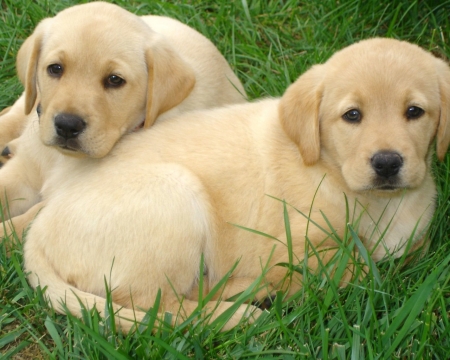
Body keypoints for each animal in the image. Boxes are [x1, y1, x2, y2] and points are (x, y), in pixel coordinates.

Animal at [16, 37, 450, 332]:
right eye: (352, 115)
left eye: (414, 112)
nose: (387, 163)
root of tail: (38, 229)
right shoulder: (289, 245)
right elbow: (356, 265)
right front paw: (298, 281)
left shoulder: (417, 239)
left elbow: (401, 254)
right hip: (175, 194)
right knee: (152, 304)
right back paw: (239, 305)